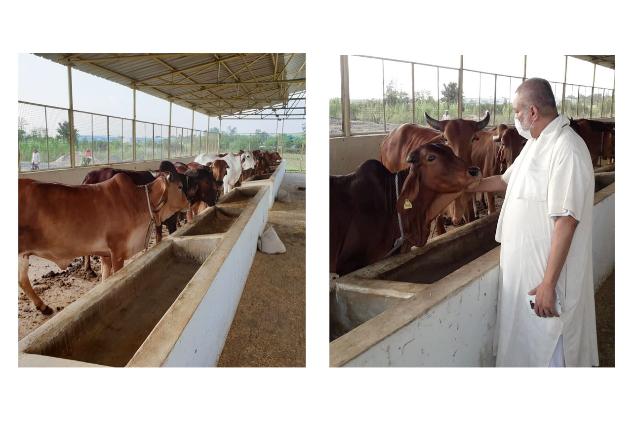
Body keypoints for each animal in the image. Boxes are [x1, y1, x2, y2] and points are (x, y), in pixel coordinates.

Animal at [18, 172, 188, 312]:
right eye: (180, 187)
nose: (189, 202)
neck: (138, 201)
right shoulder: (117, 252)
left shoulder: (105, 254)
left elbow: (106, 279)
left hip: (23, 255)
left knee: (22, 280)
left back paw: (43, 306)